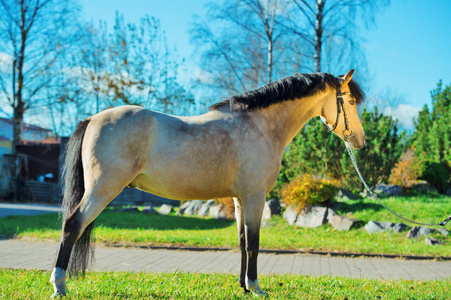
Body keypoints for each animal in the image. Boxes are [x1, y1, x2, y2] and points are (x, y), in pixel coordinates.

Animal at [50, 70, 368, 298]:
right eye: (351, 102)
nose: (361, 141)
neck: (260, 126)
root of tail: (93, 118)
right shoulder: (255, 197)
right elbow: (254, 243)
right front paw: (256, 287)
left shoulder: (240, 199)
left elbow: (242, 242)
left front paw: (243, 287)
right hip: (102, 190)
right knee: (72, 225)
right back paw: (59, 285)